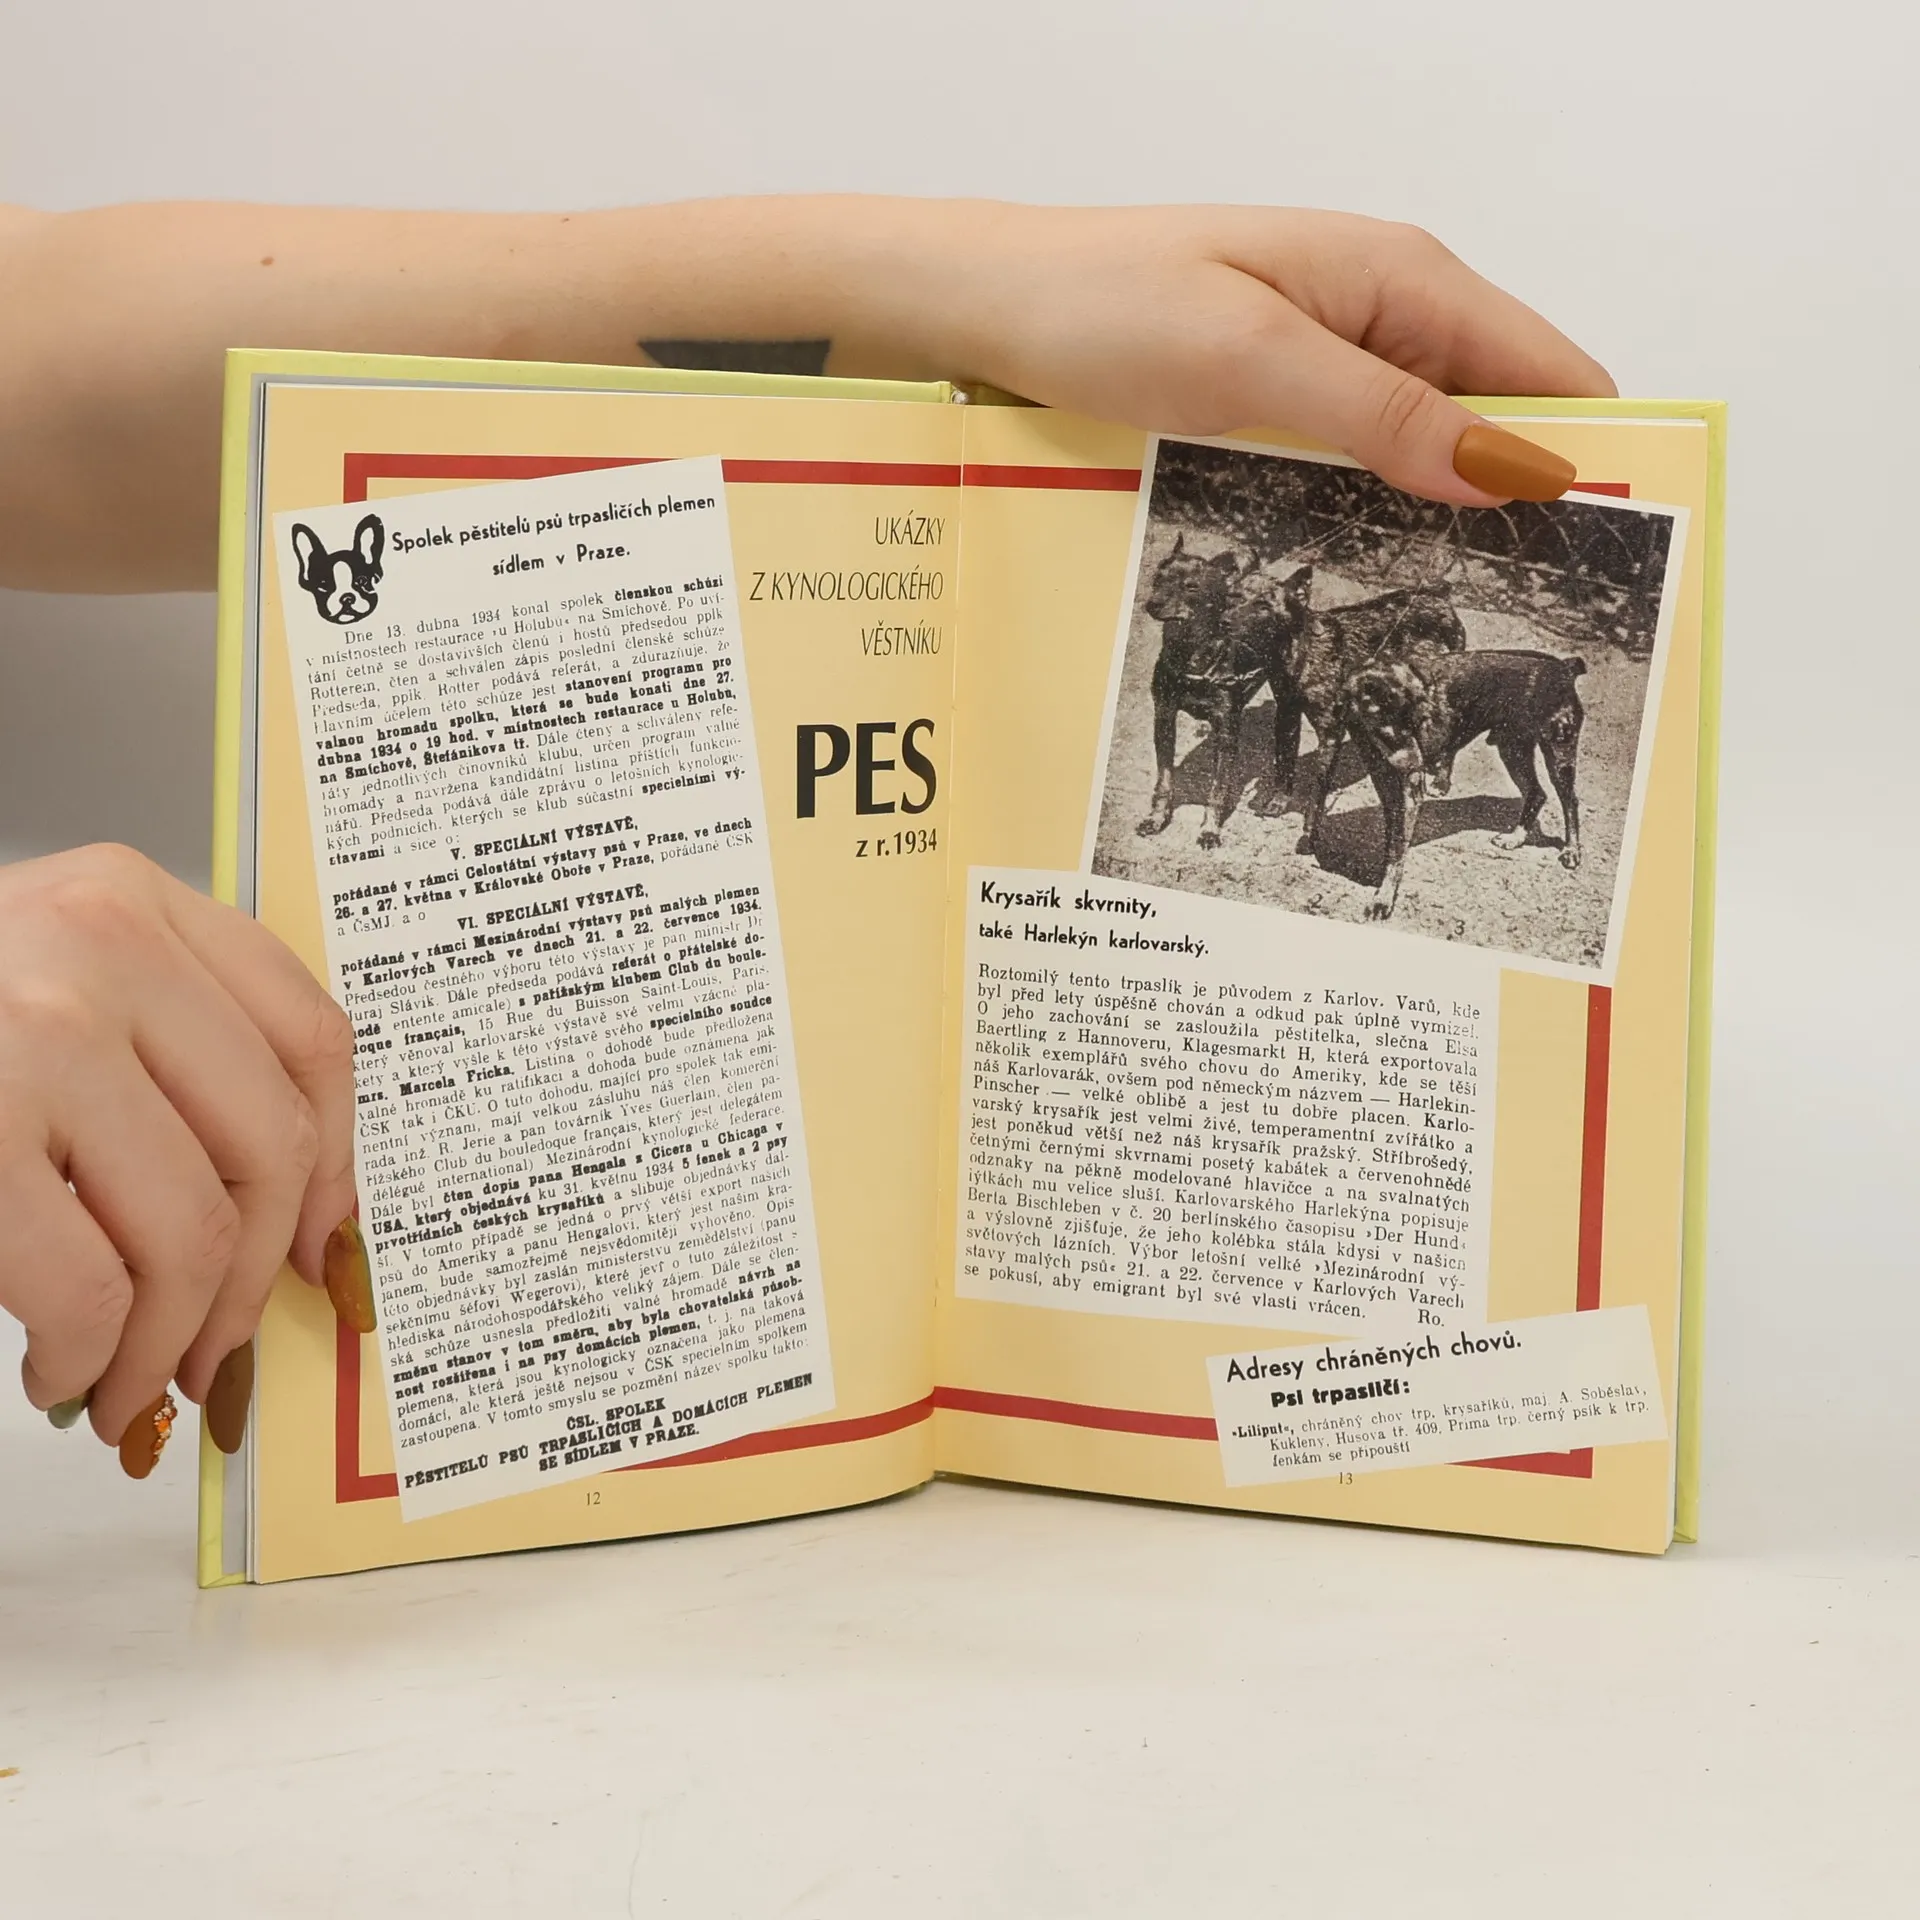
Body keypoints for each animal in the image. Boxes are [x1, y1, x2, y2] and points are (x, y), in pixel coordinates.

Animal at [1338, 642, 1587, 920]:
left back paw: (1571, 850)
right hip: (1513, 749)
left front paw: (1383, 898)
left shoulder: (1409, 794)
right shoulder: (1388, 787)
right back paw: (1516, 837)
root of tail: (1564, 667)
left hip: (1558, 754)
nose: (1419, 766)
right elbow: (1393, 842)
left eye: (1419, 720)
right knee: (1536, 793)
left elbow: (1396, 851)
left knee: (1570, 801)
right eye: (1386, 722)